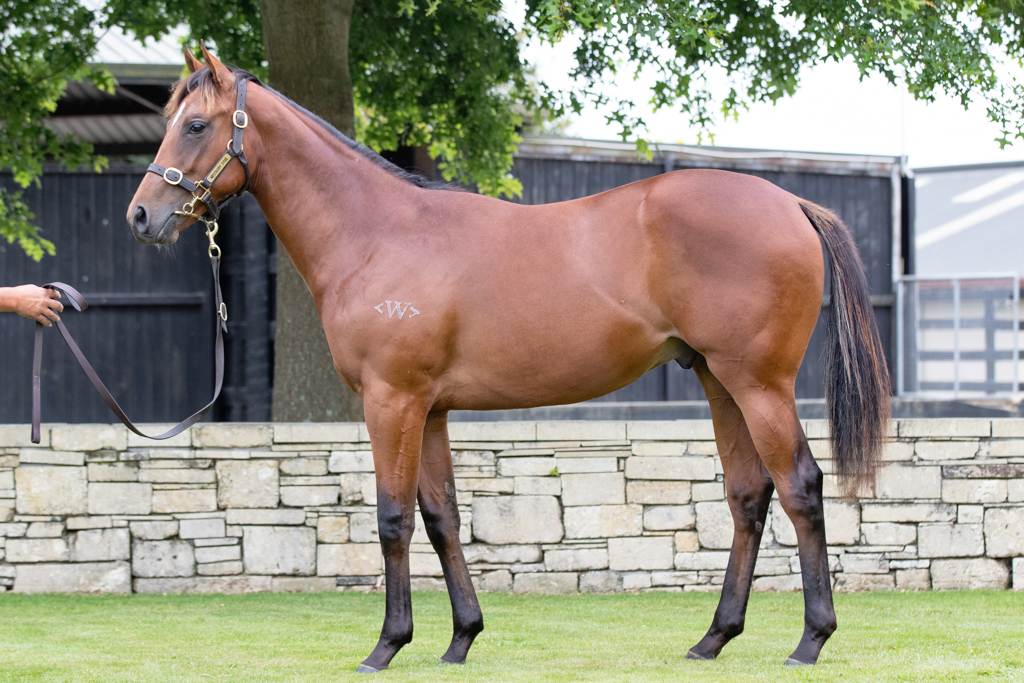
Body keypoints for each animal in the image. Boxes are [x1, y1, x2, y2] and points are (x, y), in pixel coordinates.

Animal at [127, 45, 890, 673]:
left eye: (195, 125)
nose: (140, 216)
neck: (378, 232)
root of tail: (789, 201)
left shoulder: (392, 400)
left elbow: (393, 517)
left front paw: (386, 645)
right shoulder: (429, 408)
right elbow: (440, 515)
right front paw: (460, 638)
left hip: (759, 383)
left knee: (800, 486)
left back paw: (810, 639)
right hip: (717, 379)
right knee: (748, 494)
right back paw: (713, 638)